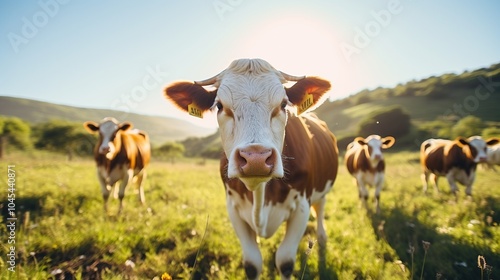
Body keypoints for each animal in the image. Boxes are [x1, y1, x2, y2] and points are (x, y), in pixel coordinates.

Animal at [164, 58, 340, 278]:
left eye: (283, 104)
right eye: (219, 106)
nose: (256, 158)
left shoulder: (302, 207)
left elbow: (285, 262)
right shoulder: (234, 209)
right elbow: (252, 263)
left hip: (322, 193)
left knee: (321, 220)